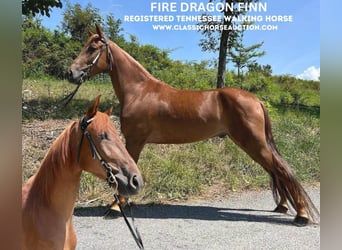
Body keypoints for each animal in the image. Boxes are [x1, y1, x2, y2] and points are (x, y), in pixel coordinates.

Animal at [68, 24, 320, 226]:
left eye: (92, 48)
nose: (71, 73)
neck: (139, 91)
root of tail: (256, 100)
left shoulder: (135, 141)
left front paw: (114, 208)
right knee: (276, 171)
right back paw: (283, 206)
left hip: (254, 143)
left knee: (282, 169)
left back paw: (301, 214)